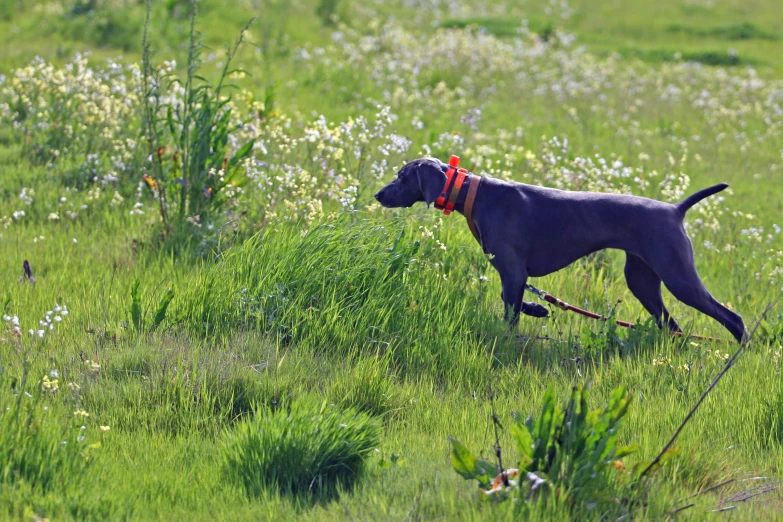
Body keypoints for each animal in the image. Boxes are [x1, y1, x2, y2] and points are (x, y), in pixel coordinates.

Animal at [376, 156, 752, 342]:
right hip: (642, 280)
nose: (378, 194)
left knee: (732, 318)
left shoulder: (513, 270)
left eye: (402, 176)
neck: (476, 196)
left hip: (678, 277)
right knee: (672, 326)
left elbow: (509, 313)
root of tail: (676, 209)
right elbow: (514, 301)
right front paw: (538, 309)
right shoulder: (514, 275)